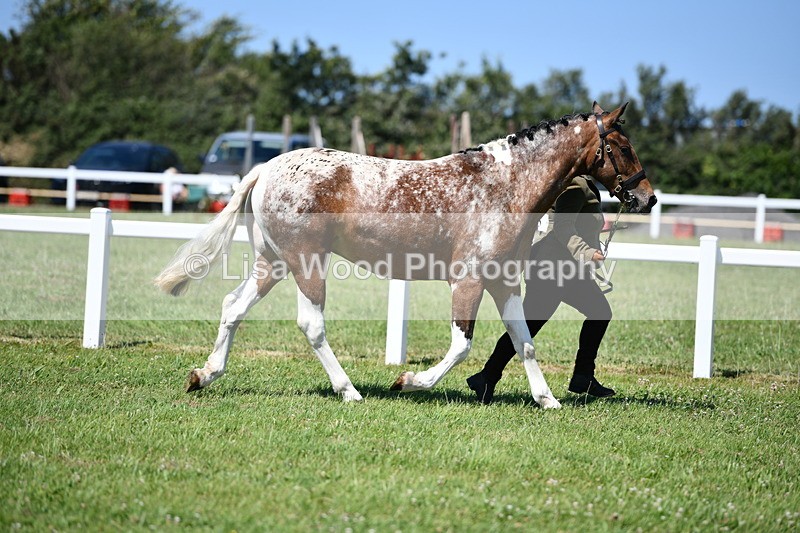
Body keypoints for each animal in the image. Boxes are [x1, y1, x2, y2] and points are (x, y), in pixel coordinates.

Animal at [155, 102, 656, 409]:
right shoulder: (468, 281)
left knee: (233, 307)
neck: (505, 186)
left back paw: (205, 375)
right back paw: (349, 391)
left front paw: (547, 399)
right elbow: (462, 344)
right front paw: (409, 382)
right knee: (311, 324)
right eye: (623, 147)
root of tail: (266, 167)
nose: (648, 198)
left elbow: (523, 341)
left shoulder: (504, 282)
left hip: (272, 263)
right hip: (306, 263)